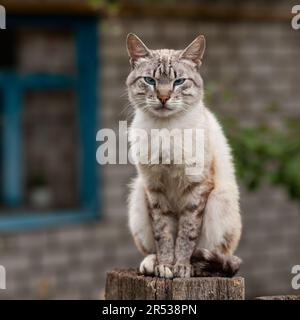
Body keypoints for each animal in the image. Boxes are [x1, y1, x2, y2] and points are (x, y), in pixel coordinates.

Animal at [126, 33, 241, 278]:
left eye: (178, 81)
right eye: (150, 80)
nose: (163, 97)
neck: (165, 129)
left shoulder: (197, 188)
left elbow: (186, 235)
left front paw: (180, 267)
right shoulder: (155, 189)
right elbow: (164, 234)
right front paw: (165, 266)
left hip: (219, 200)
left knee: (217, 256)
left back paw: (197, 267)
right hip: (138, 197)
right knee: (152, 248)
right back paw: (151, 264)